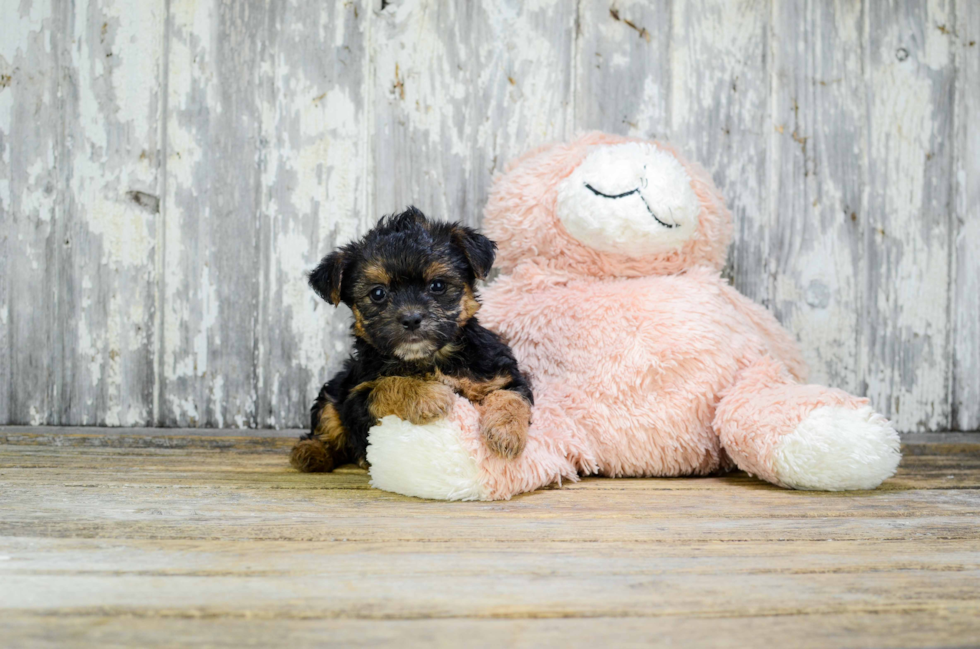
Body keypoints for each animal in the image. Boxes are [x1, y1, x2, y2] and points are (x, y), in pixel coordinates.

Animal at [290, 206, 532, 470]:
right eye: (378, 293)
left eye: (438, 285)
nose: (411, 318)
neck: (429, 358)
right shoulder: (356, 398)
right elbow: (386, 386)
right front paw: (428, 394)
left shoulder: (500, 373)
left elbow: (510, 396)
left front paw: (506, 433)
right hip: (336, 388)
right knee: (327, 421)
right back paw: (311, 452)